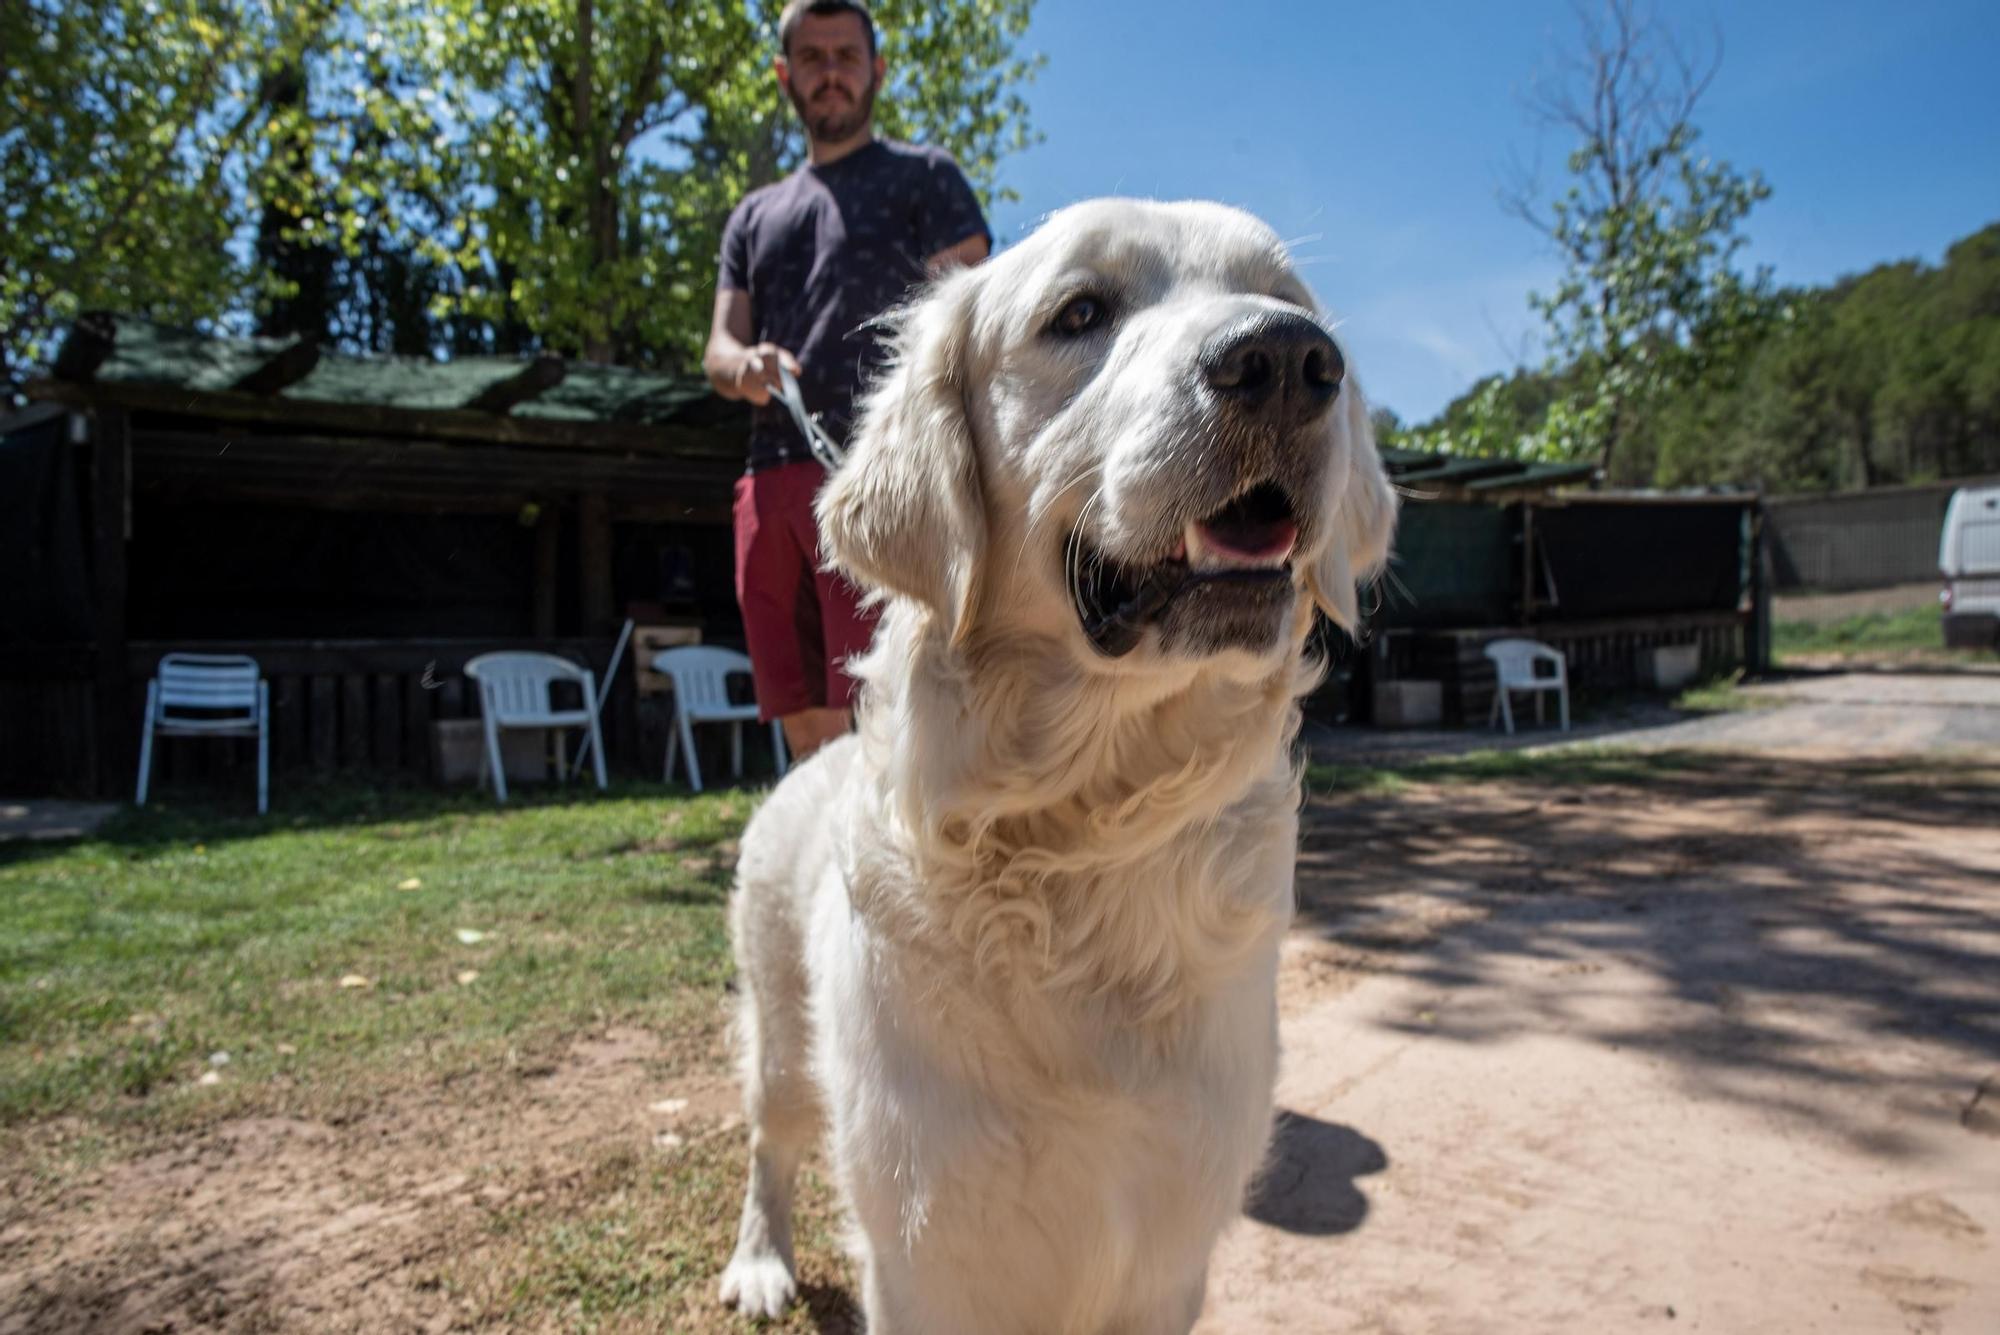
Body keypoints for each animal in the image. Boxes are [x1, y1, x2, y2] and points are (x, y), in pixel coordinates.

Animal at [716, 197, 1392, 1335]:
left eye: (1286, 301)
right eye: (1078, 313)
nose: (1288, 358)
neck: (1082, 835)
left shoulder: (1166, 1257)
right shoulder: (925, 1255)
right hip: (782, 1041)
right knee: (769, 1142)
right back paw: (760, 1263)